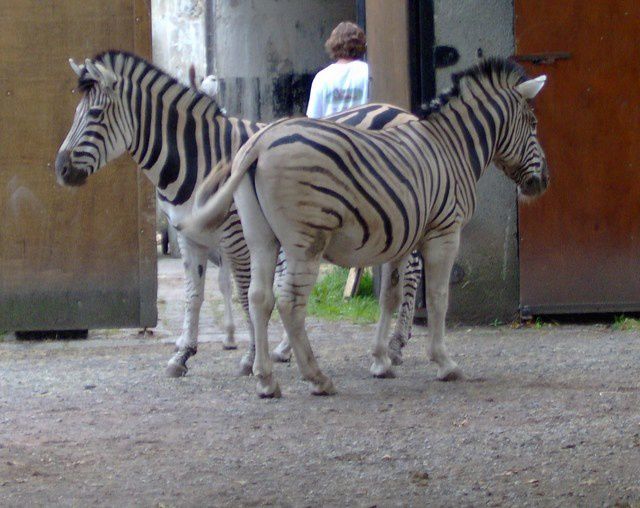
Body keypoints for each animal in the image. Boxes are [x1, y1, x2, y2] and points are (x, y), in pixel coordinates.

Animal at [53, 50, 420, 378]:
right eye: (76, 112)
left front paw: (251, 356)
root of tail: (402, 112)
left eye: (95, 114)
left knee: (412, 271)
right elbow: (194, 296)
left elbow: (246, 294)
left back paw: (397, 345)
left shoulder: (237, 236)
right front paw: (182, 355)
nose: (60, 169)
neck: (196, 157)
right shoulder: (188, 237)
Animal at [180, 58, 552, 396]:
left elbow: (390, 296)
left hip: (261, 238)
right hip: (306, 241)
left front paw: (381, 360)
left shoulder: (403, 236)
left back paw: (266, 380)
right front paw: (444, 363)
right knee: (289, 303)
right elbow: (438, 297)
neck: (452, 148)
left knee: (259, 297)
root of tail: (259, 142)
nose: (544, 182)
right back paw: (317, 378)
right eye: (533, 123)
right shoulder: (444, 233)